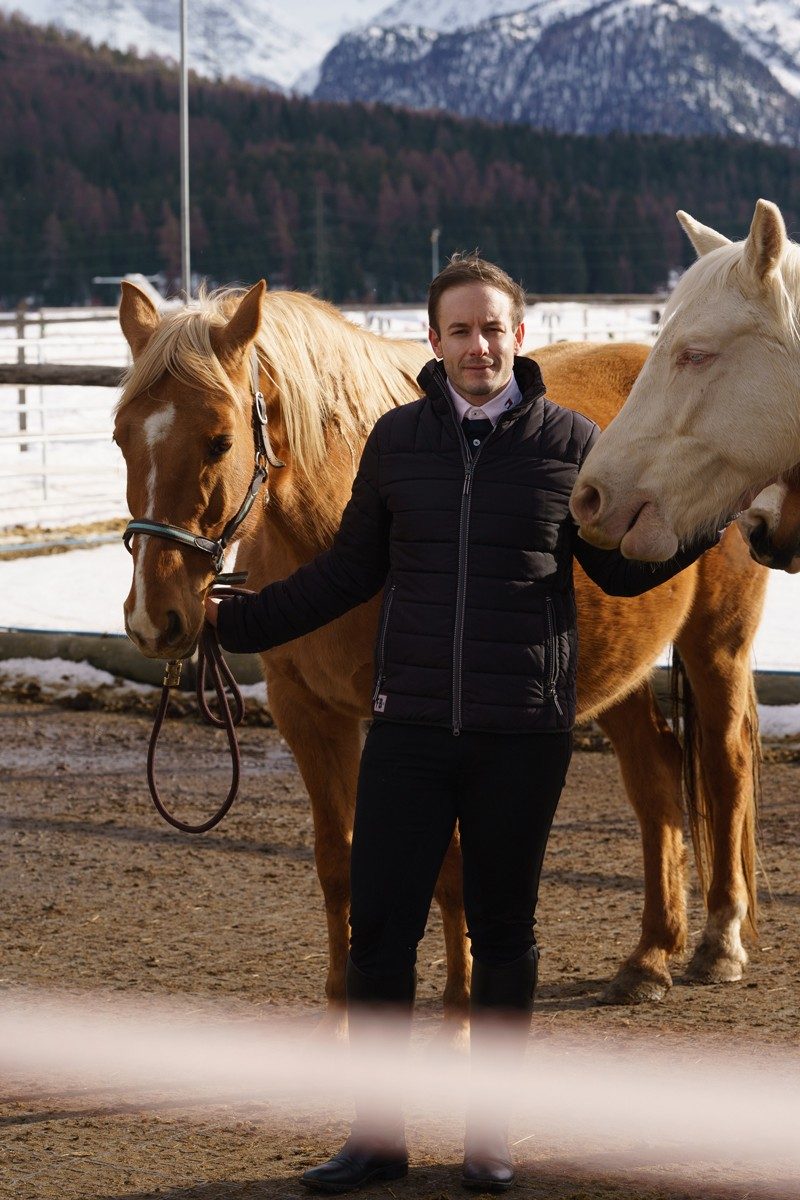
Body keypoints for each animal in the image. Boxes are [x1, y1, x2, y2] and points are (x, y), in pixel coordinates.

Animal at [112, 285, 762, 1017]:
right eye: (121, 436)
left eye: (221, 439)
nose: (155, 618)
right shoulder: (306, 712)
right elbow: (338, 861)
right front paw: (343, 1000)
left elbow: (450, 867)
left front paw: (462, 995)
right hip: (608, 671)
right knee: (655, 774)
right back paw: (649, 957)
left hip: (716, 643)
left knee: (726, 766)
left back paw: (718, 943)